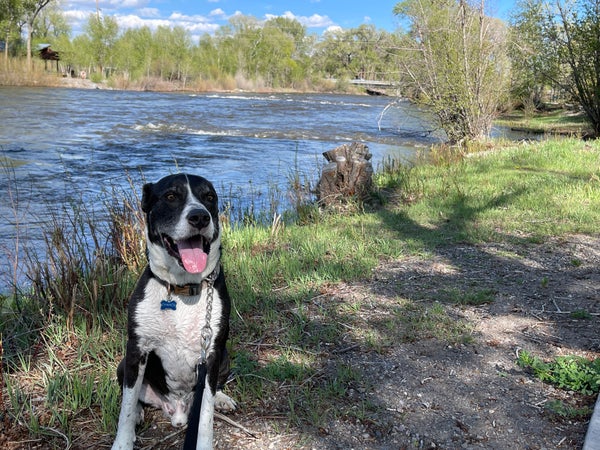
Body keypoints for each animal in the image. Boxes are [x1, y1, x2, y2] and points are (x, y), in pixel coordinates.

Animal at [111, 174, 236, 450]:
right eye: (170, 196)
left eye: (209, 197)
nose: (200, 217)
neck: (182, 290)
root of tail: (176, 410)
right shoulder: (136, 350)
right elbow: (126, 406)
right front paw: (122, 442)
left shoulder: (212, 354)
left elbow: (206, 413)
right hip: (123, 365)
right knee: (132, 396)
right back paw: (139, 413)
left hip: (225, 357)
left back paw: (222, 398)